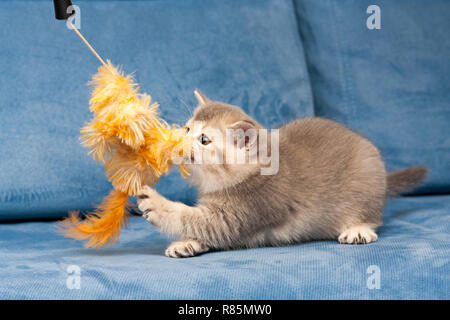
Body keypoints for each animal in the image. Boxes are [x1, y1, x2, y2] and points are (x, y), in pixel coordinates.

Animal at [139, 90, 428, 258]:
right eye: (187, 129)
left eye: (204, 140)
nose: (178, 143)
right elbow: (199, 226)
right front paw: (186, 243)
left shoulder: (245, 212)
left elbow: (199, 221)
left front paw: (158, 205)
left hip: (367, 181)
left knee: (371, 215)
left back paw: (359, 228)